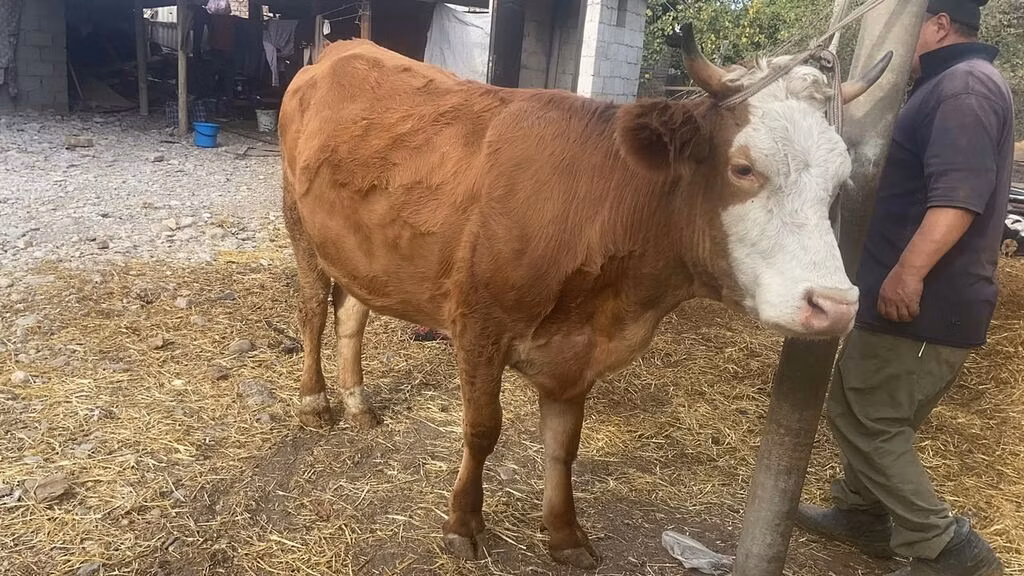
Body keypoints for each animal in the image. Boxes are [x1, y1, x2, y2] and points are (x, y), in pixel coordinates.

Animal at [278, 25, 891, 569]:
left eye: (841, 184)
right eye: (743, 168)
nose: (836, 305)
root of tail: (339, 50)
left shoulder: (579, 352)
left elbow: (563, 444)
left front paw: (565, 534)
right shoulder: (479, 326)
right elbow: (482, 430)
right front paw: (463, 525)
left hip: (362, 250)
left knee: (352, 314)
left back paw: (358, 402)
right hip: (299, 223)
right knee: (313, 312)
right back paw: (315, 403)